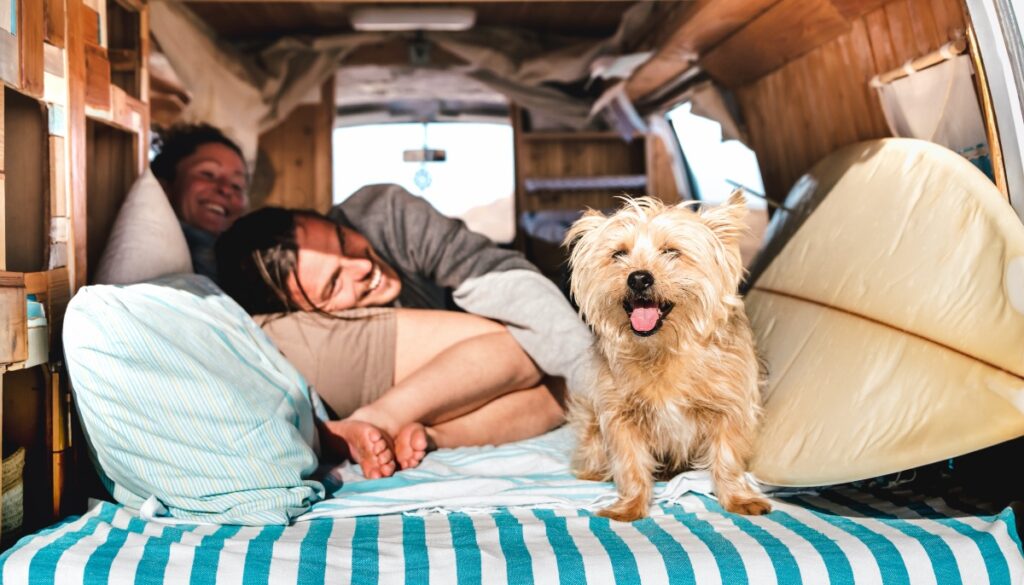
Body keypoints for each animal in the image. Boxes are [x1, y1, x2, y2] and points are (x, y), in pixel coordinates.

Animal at [565, 192, 770, 522]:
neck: (663, 349)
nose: (638, 278)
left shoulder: (730, 408)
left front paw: (737, 497)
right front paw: (630, 505)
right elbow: (630, 464)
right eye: (618, 254)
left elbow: (727, 457)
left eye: (671, 251)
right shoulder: (620, 415)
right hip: (590, 421)